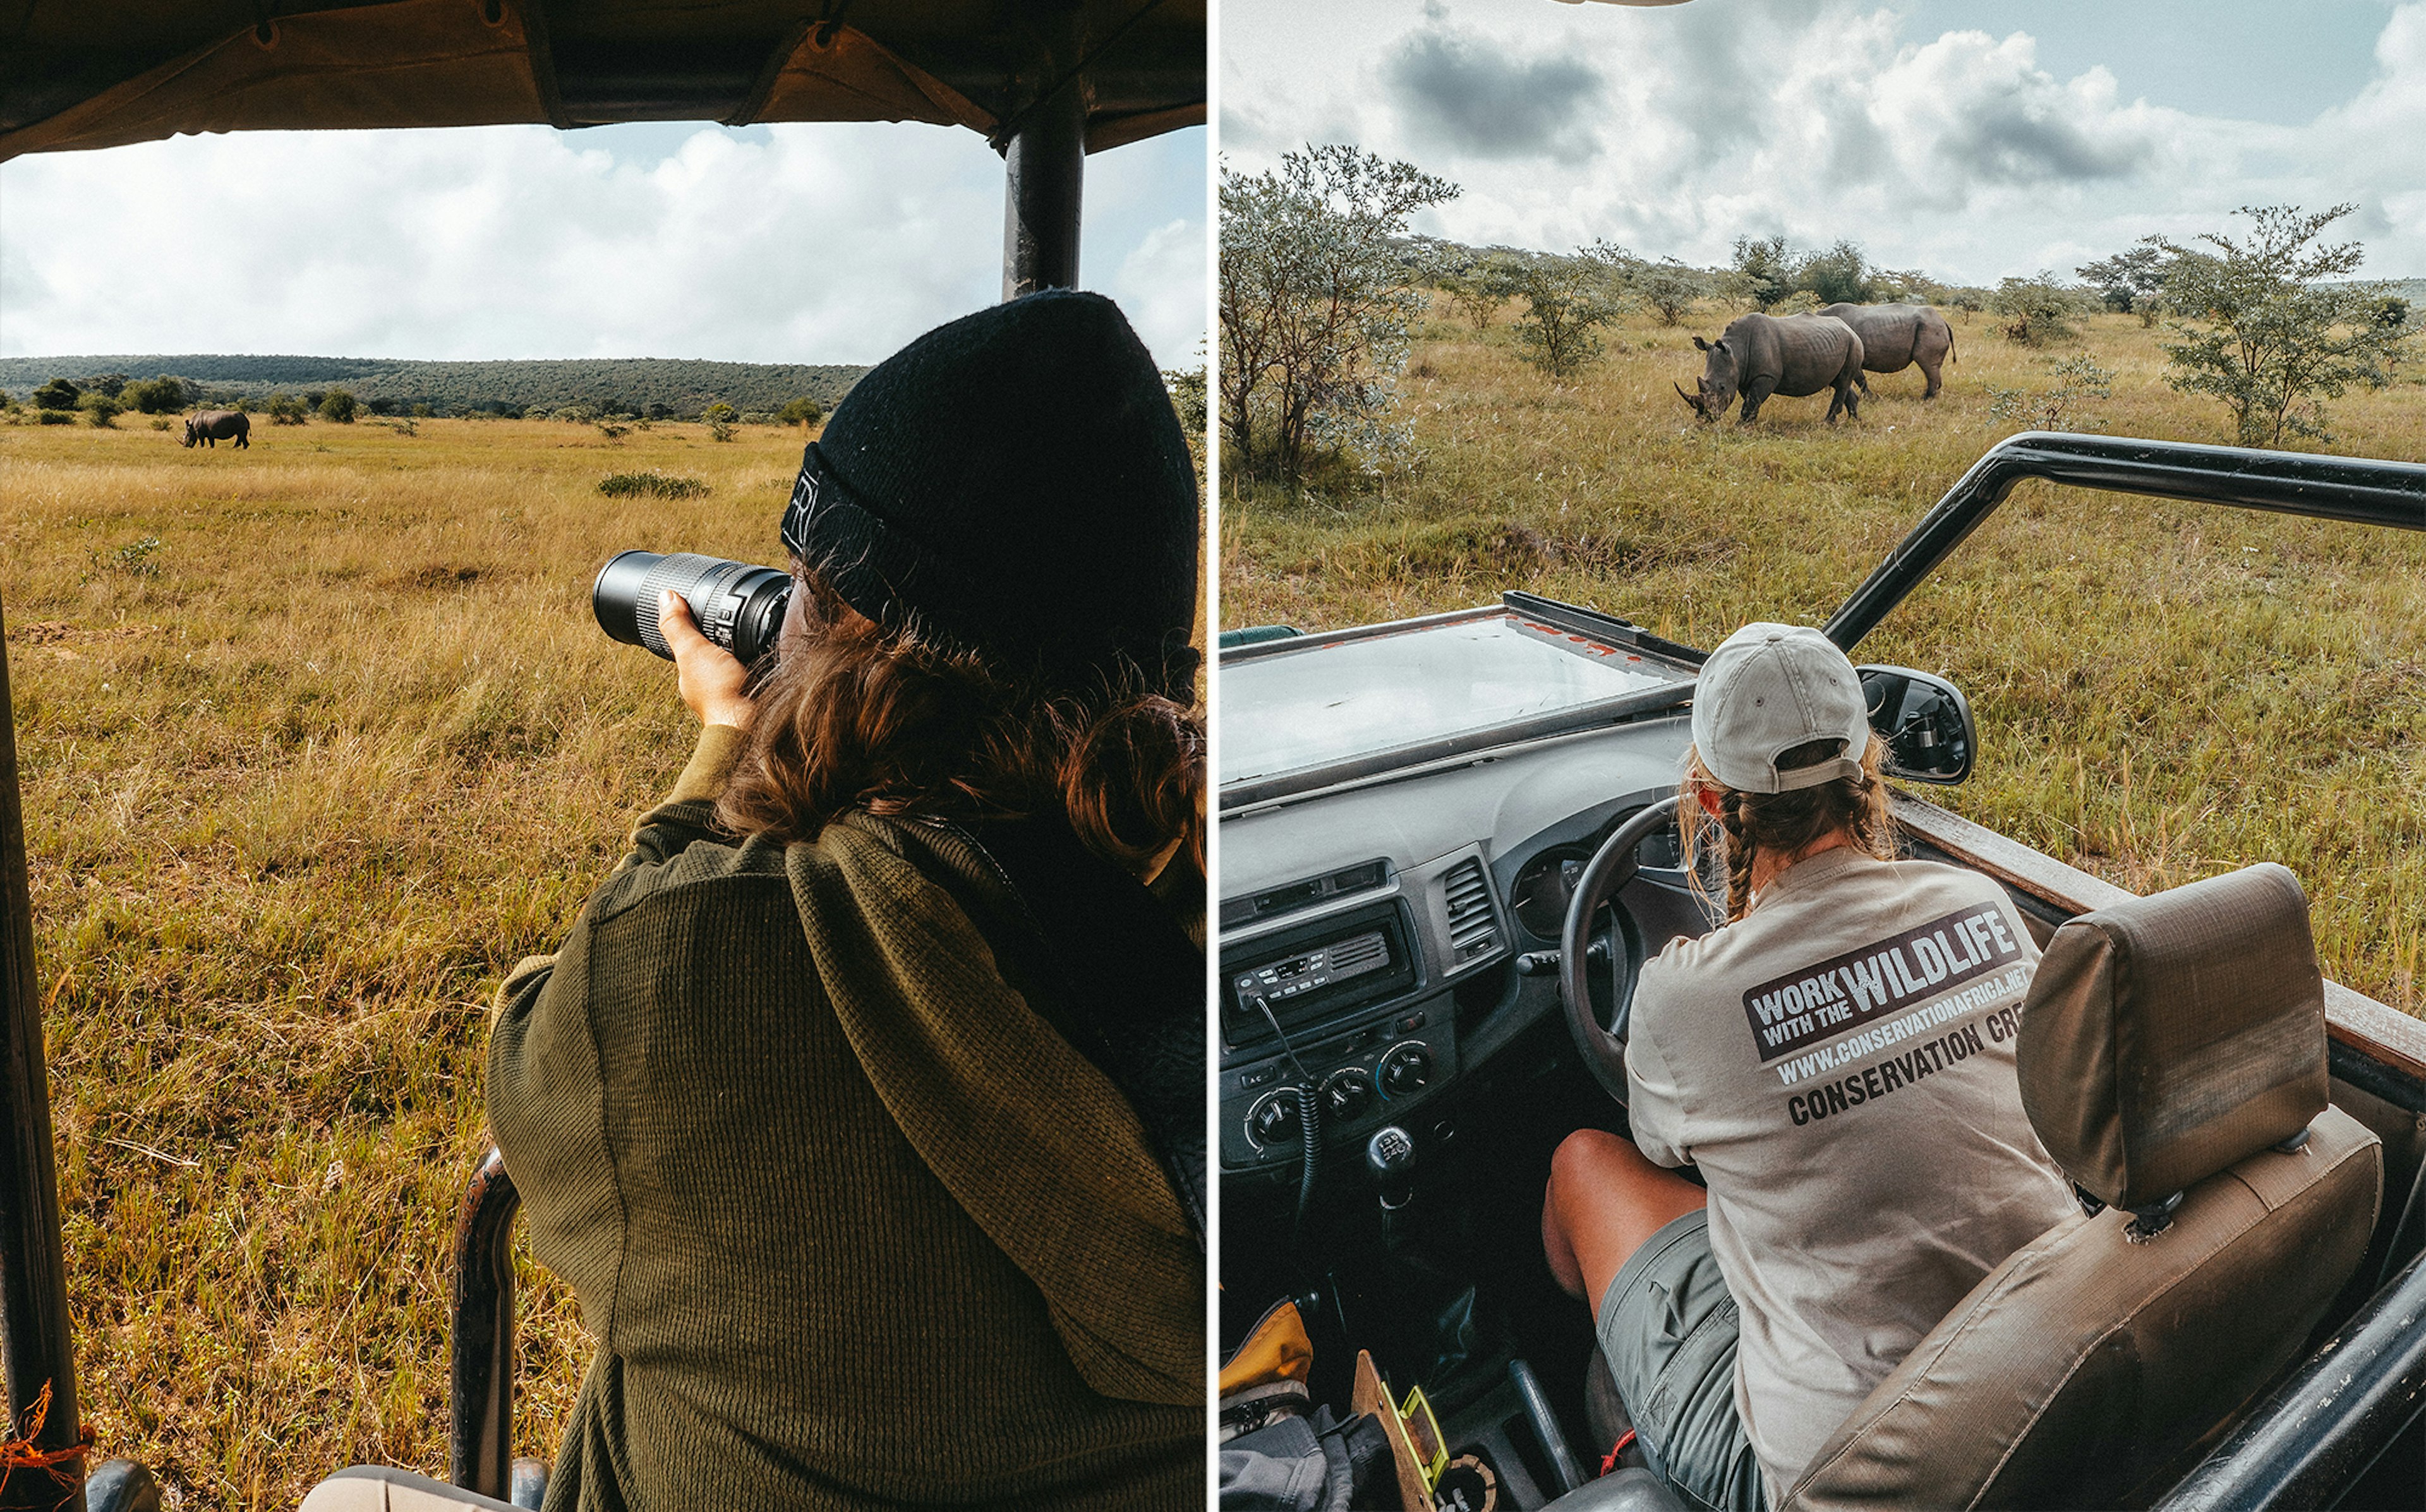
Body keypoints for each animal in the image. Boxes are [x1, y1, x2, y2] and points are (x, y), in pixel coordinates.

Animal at [1679, 310, 1863, 422]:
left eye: (1722, 387)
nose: (1705, 417)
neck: (1736, 351)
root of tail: (1850, 329)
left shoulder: (1766, 375)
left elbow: (1752, 401)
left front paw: (1740, 427)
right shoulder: (1745, 377)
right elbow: (1751, 401)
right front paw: (1750, 424)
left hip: (1854, 344)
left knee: (1842, 382)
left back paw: (1827, 424)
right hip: (1837, 344)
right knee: (1840, 382)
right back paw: (1853, 421)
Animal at [1824, 304, 1950, 400]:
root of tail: (1943, 321)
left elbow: (1860, 379)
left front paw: (1871, 399)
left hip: (1931, 328)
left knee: (1928, 366)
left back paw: (1925, 400)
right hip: (1933, 327)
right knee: (1933, 368)